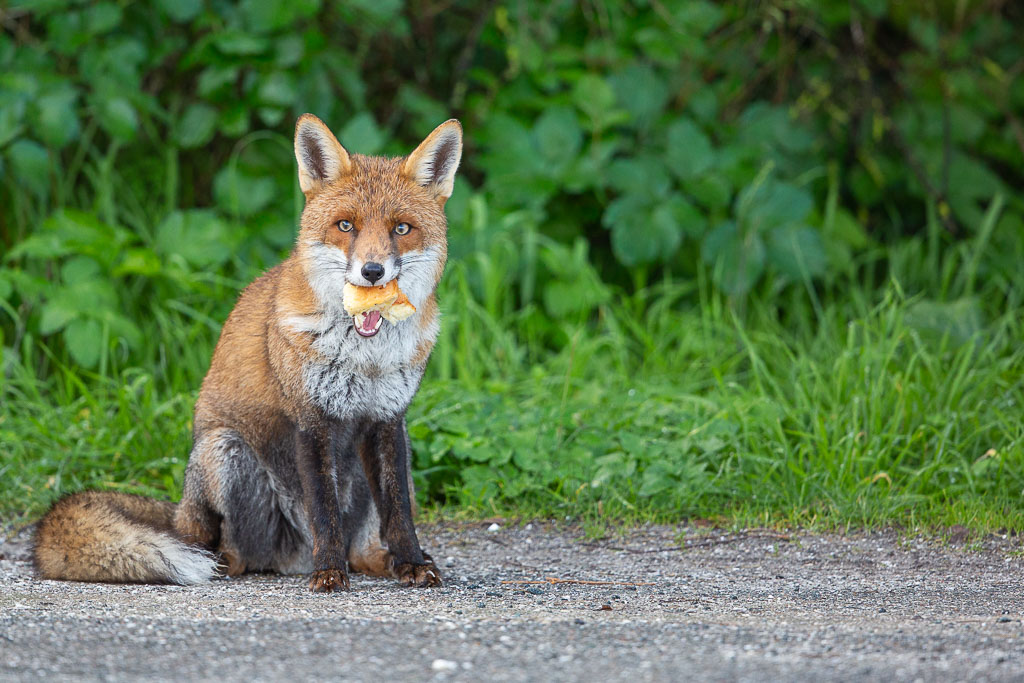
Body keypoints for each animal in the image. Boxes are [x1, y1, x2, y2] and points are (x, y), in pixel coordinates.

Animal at [32, 114, 463, 592]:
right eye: (346, 226)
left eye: (401, 229)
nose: (372, 272)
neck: (365, 359)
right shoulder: (309, 421)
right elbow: (325, 511)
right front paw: (329, 573)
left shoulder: (388, 421)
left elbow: (399, 514)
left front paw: (412, 563)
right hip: (223, 452)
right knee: (226, 552)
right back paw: (241, 562)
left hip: (396, 458)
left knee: (366, 548)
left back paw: (380, 561)